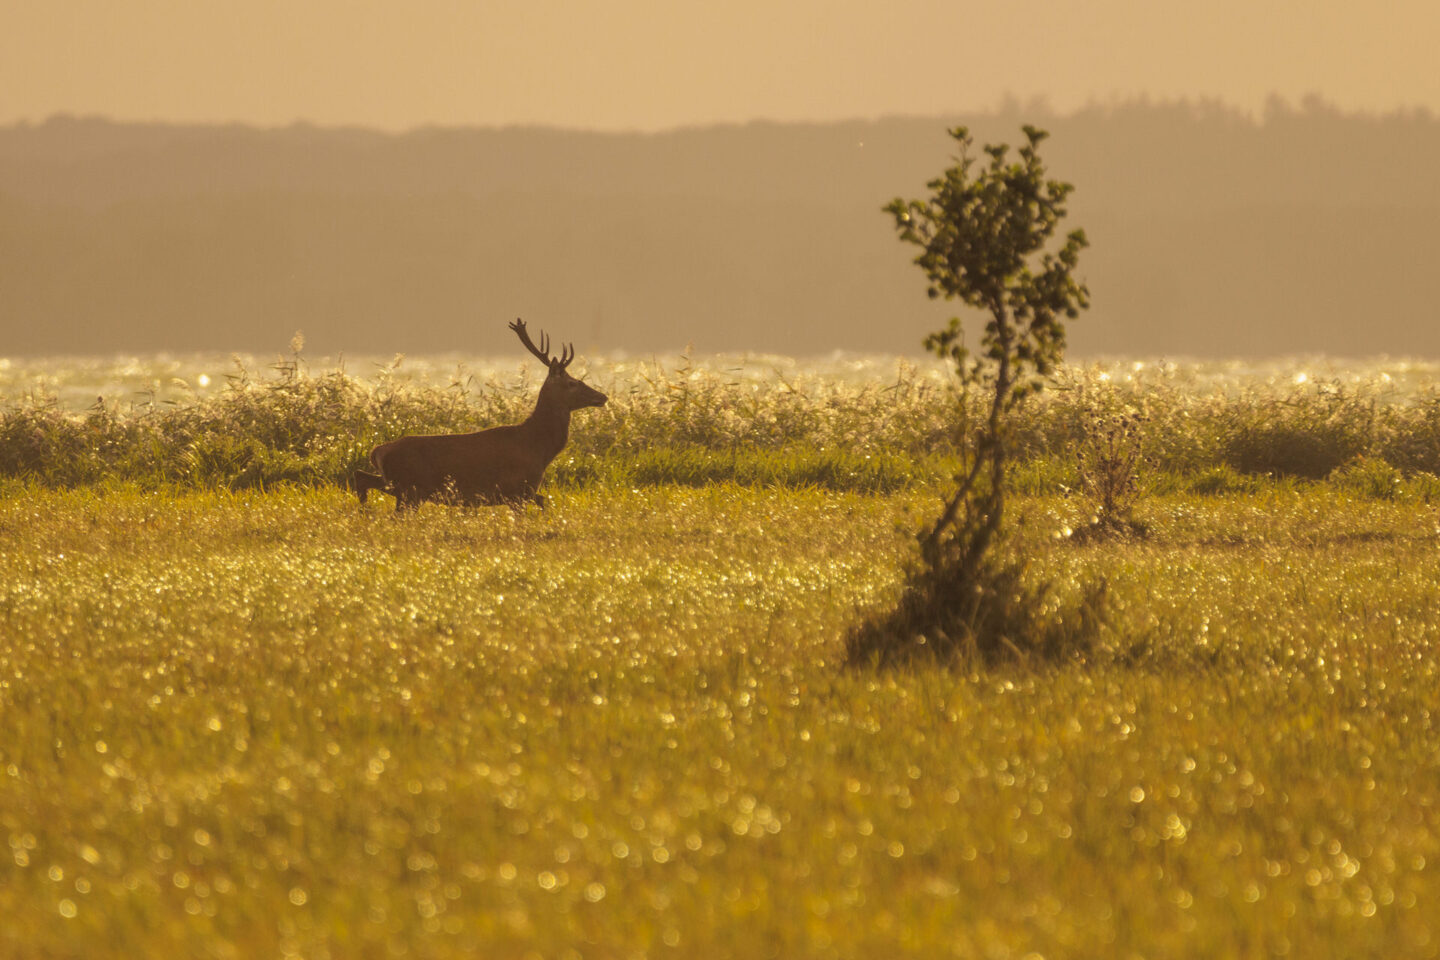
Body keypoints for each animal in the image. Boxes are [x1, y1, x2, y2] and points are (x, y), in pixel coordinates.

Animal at [354, 319, 608, 513]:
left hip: (398, 486)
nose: (603, 396)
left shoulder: (524, 492)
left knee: (361, 476)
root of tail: (377, 450)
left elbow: (544, 502)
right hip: (410, 489)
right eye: (573, 382)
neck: (539, 448)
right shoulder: (518, 490)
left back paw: (363, 507)